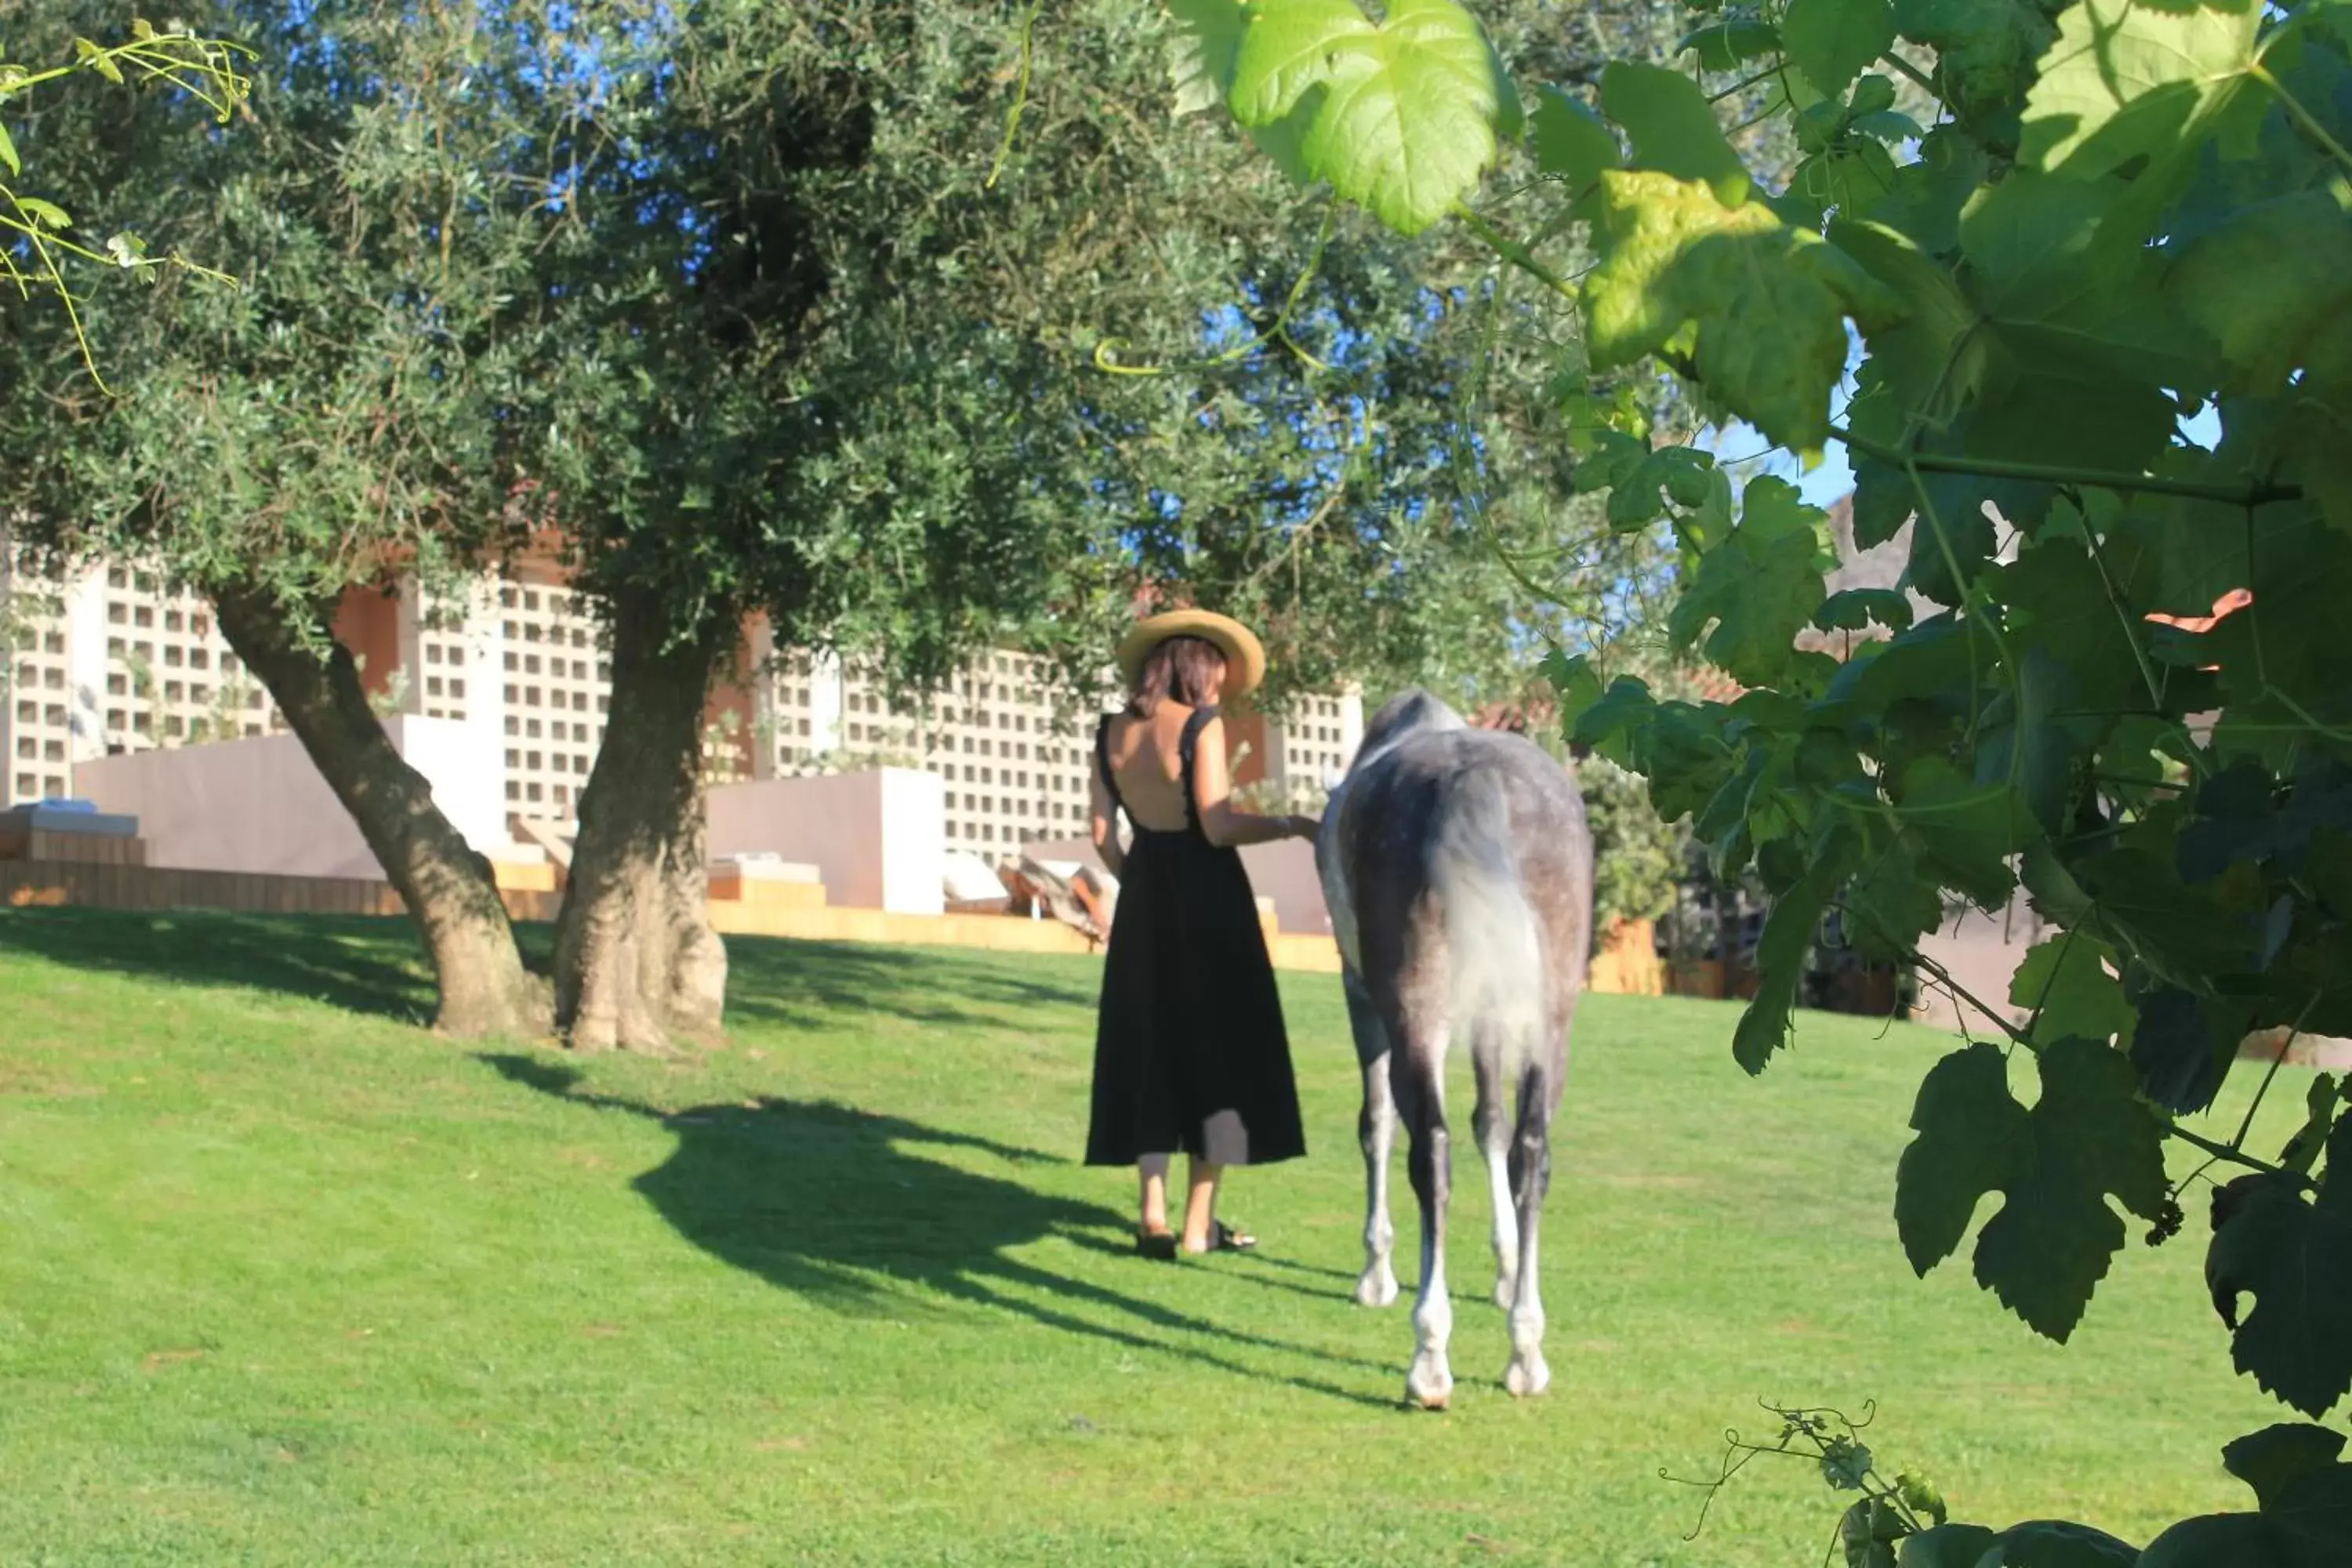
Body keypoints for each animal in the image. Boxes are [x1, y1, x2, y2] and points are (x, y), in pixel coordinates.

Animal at [1317, 686, 1590, 1410]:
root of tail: (1478, 782)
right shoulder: (1497, 1010)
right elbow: (1491, 1126)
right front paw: (1505, 1270)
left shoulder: (1360, 995)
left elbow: (1376, 1126)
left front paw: (1376, 1271)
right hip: (1550, 1018)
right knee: (1533, 1152)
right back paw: (1526, 1351)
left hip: (1412, 1010)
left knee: (1429, 1152)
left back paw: (1429, 1359)